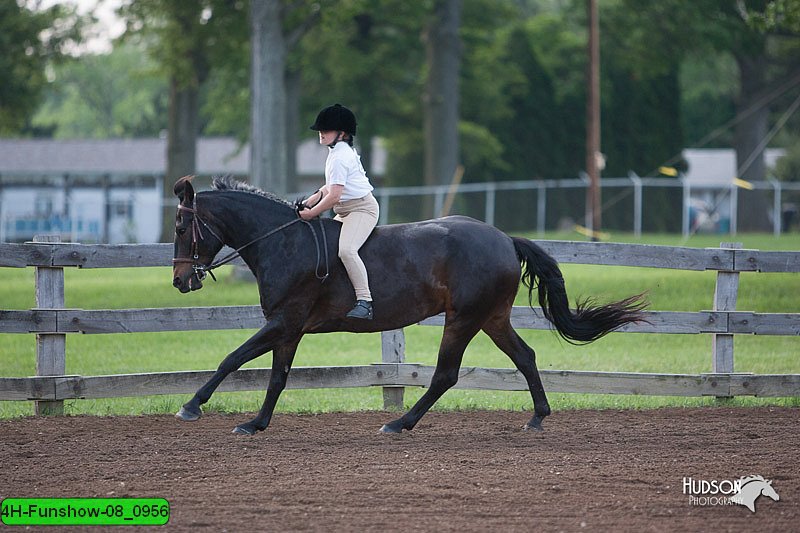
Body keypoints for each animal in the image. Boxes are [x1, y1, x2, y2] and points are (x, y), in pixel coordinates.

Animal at [172, 177, 648, 434]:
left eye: (180, 226)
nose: (180, 281)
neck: (283, 242)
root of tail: (503, 238)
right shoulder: (288, 329)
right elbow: (276, 378)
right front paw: (255, 423)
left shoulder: (283, 322)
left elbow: (232, 359)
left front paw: (191, 406)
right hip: (492, 318)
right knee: (526, 357)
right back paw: (537, 418)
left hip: (463, 320)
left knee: (445, 375)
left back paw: (399, 423)